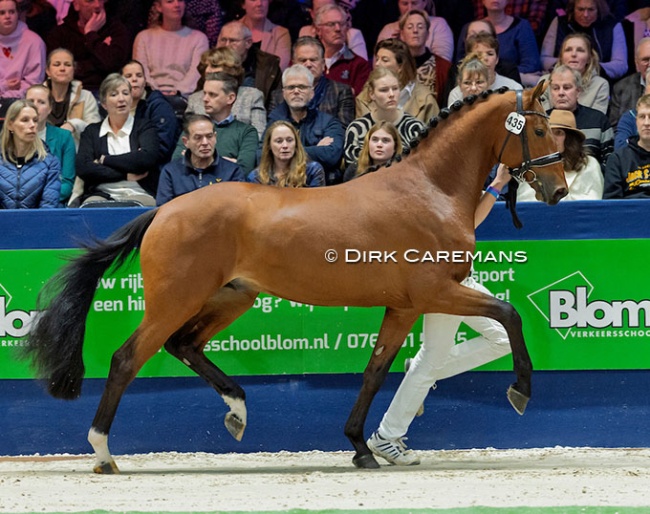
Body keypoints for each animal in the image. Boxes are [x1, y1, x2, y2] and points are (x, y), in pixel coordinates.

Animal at [22, 84, 567, 473]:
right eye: (541, 132)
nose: (559, 189)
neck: (430, 189)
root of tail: (163, 211)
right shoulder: (435, 292)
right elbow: (510, 314)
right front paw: (520, 390)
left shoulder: (405, 305)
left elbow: (376, 370)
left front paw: (361, 447)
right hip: (176, 300)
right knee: (127, 358)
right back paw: (102, 452)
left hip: (230, 298)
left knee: (184, 345)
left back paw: (237, 410)